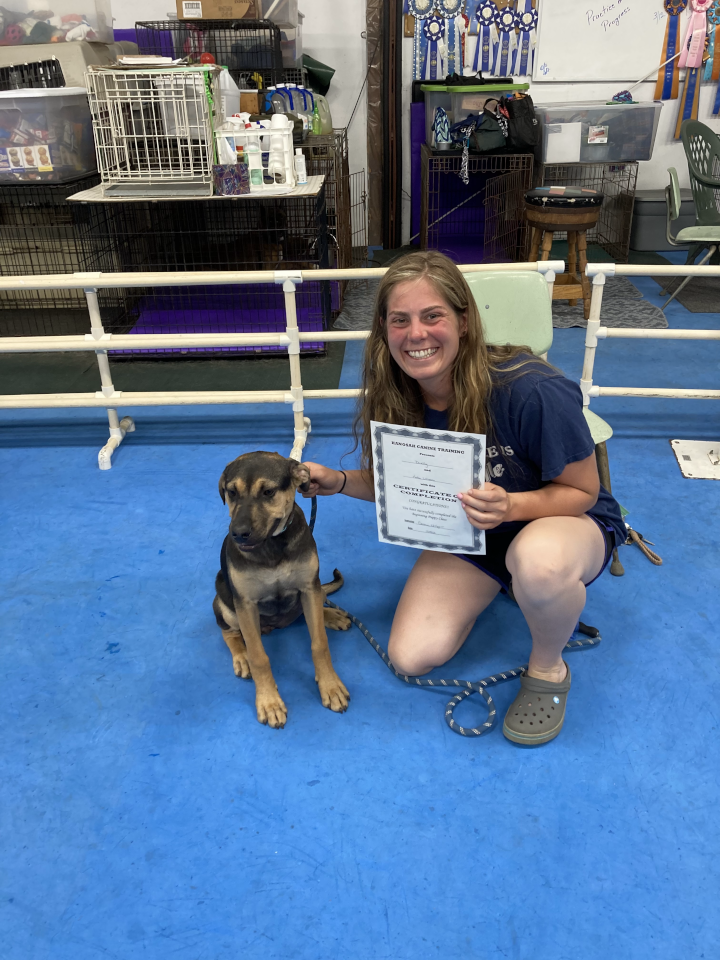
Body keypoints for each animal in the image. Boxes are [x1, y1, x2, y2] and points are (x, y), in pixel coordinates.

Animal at [212, 450, 350, 728]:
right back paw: (241, 657)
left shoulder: (308, 587)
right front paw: (269, 702)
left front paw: (330, 686)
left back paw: (330, 614)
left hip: (312, 591)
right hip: (223, 600)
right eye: (231, 492)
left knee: (315, 606)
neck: (273, 545)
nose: (238, 534)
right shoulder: (245, 603)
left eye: (268, 492)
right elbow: (259, 658)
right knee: (229, 632)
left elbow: (319, 644)